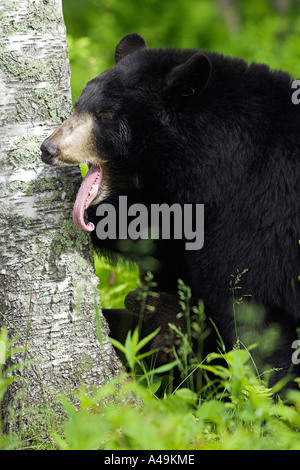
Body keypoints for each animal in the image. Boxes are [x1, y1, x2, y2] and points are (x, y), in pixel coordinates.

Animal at [41, 32, 300, 386]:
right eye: (77, 105)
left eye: (104, 114)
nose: (48, 148)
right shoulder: (176, 210)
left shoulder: (259, 213)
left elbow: (257, 320)